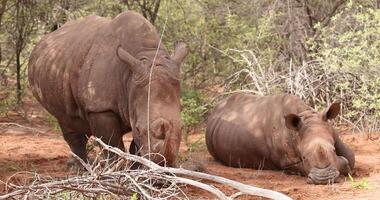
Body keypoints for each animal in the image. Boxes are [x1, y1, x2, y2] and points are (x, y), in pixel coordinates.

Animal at [27, 11, 188, 167]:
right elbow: (113, 147)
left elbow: (135, 148)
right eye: (138, 128)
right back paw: (79, 168)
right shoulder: (100, 107)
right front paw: (116, 169)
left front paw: (138, 170)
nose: (164, 165)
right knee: (67, 121)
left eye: (182, 128)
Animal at [206, 93, 354, 184]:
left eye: (333, 150)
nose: (323, 179)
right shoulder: (287, 163)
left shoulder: (332, 133)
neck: (306, 115)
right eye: (304, 157)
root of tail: (214, 110)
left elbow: (350, 158)